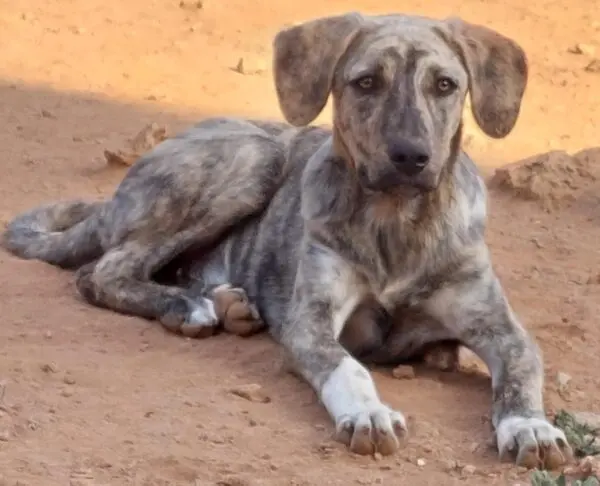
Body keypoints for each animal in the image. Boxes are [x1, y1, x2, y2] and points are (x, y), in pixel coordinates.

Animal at [3, 12, 572, 469]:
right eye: (366, 82)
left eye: (446, 84)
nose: (411, 156)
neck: (395, 220)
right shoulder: (310, 322)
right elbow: (348, 368)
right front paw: (368, 414)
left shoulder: (500, 326)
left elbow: (520, 369)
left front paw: (531, 426)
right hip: (254, 157)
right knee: (102, 271)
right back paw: (187, 306)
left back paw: (227, 302)